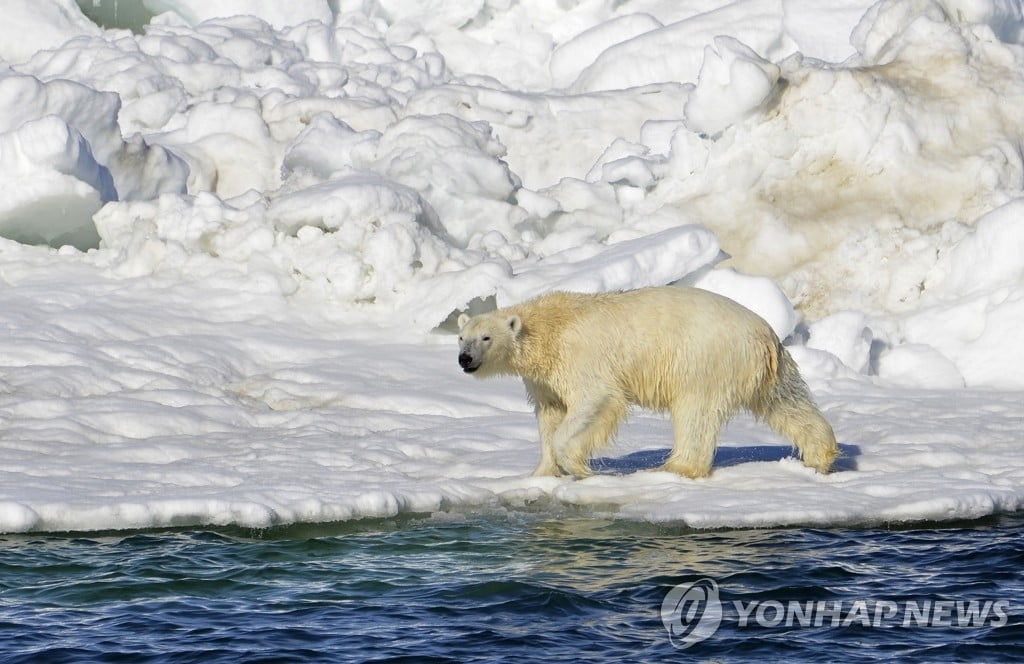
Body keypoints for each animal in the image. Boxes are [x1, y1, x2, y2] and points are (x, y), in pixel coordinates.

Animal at [460, 284, 835, 477]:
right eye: (462, 337)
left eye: (486, 338)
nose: (464, 359)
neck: (549, 328)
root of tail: (764, 334)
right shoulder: (544, 379)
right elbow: (550, 413)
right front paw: (542, 473)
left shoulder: (580, 358)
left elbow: (596, 400)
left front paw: (578, 467)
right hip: (767, 368)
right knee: (786, 402)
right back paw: (821, 456)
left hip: (704, 359)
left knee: (695, 413)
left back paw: (676, 467)